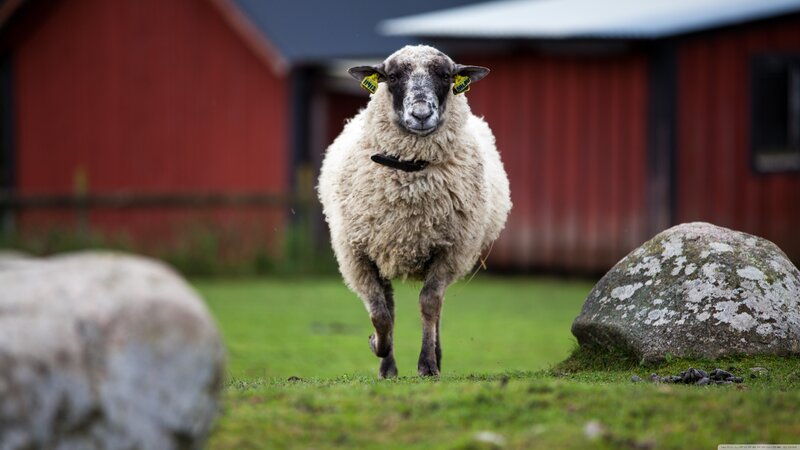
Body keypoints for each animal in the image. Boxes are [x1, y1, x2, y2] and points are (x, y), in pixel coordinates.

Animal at [317, 45, 511, 378]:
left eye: (445, 76)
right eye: (392, 76)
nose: (421, 114)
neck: (408, 179)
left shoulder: (449, 250)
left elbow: (429, 305)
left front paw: (427, 365)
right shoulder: (357, 254)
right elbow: (380, 313)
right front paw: (378, 347)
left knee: (436, 306)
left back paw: (435, 355)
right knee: (389, 306)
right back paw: (388, 366)